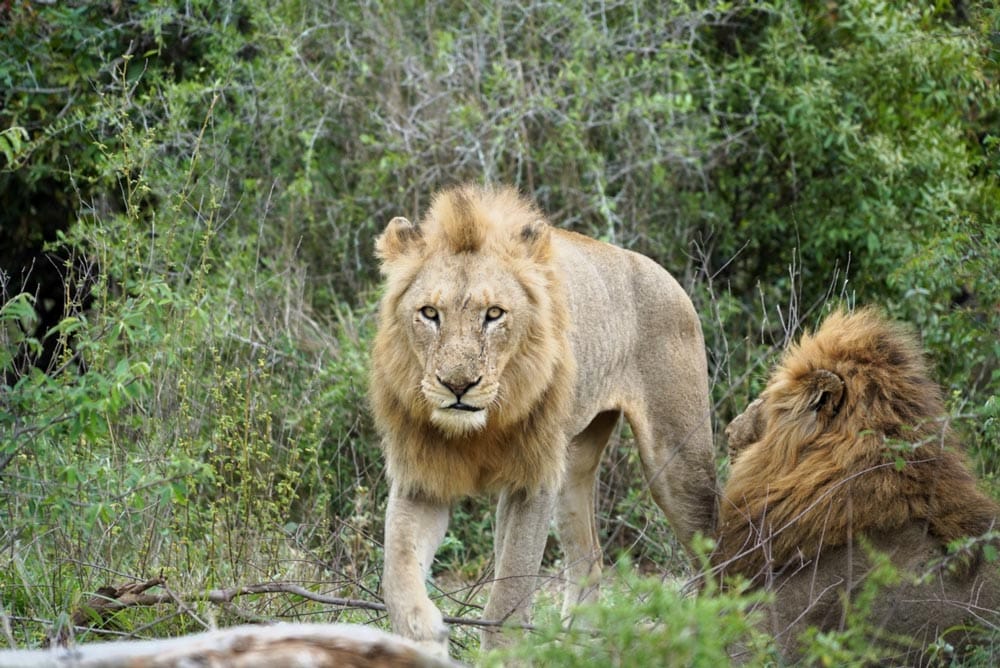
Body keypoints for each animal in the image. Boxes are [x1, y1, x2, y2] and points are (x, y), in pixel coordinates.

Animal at [372, 185, 716, 656]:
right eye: (429, 313)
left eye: (494, 314)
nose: (458, 385)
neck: (482, 425)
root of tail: (663, 273)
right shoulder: (421, 479)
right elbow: (397, 570)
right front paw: (423, 634)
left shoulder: (532, 481)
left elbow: (509, 595)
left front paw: (502, 657)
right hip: (573, 467)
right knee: (589, 558)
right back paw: (575, 645)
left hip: (676, 459)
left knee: (716, 546)